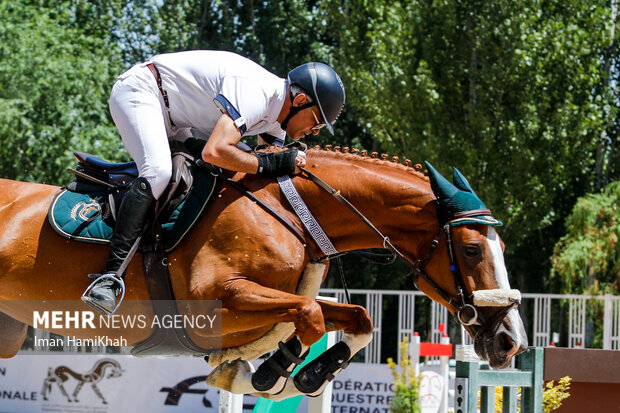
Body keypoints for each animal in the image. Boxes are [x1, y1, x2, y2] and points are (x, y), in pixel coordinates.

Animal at [0, 146, 528, 398]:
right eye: (473, 249)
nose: (513, 343)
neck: (294, 210)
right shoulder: (217, 304)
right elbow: (308, 318)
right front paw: (272, 371)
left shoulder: (278, 298)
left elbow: (355, 317)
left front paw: (304, 374)